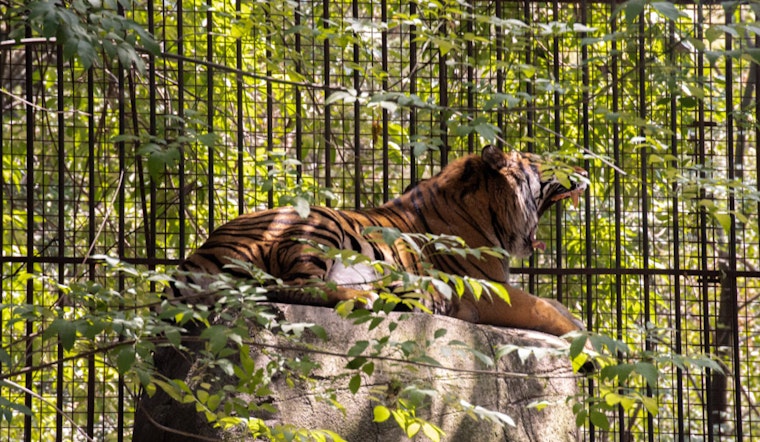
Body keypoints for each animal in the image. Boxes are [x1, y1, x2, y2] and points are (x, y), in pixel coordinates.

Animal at [169, 145, 587, 337]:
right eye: (548, 163)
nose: (585, 170)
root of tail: (196, 256)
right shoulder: (485, 290)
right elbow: (547, 310)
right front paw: (591, 351)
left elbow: (557, 305)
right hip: (316, 225)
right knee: (291, 287)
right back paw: (365, 296)